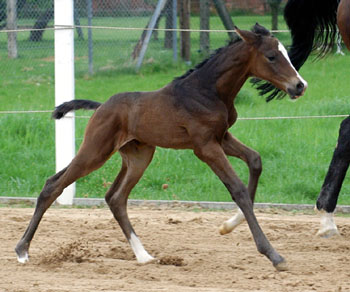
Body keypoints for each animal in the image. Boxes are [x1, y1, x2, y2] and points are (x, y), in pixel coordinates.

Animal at [15, 24, 306, 270]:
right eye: (271, 56)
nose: (299, 85)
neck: (208, 91)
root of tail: (101, 107)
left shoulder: (221, 137)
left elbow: (255, 161)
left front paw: (229, 225)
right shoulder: (205, 146)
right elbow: (238, 189)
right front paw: (273, 255)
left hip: (138, 156)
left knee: (114, 197)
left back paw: (143, 255)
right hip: (96, 151)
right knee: (54, 185)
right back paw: (22, 250)